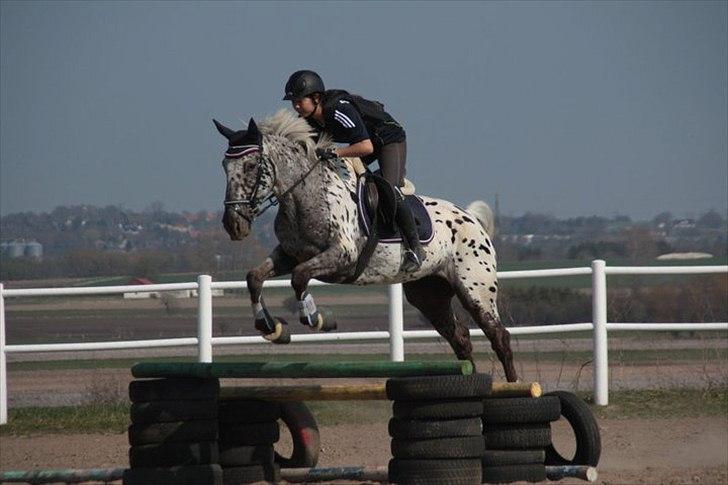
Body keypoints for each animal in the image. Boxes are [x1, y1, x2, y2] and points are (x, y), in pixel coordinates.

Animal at [212, 109, 516, 382]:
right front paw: (271, 327)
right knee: (460, 338)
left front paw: (318, 319)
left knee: (498, 335)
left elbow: (299, 278)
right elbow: (255, 277)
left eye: (251, 166)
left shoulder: (342, 256)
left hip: (475, 290)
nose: (233, 225)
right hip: (429, 295)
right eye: (225, 167)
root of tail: (471, 219)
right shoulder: (289, 254)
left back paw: (513, 384)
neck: (304, 196)